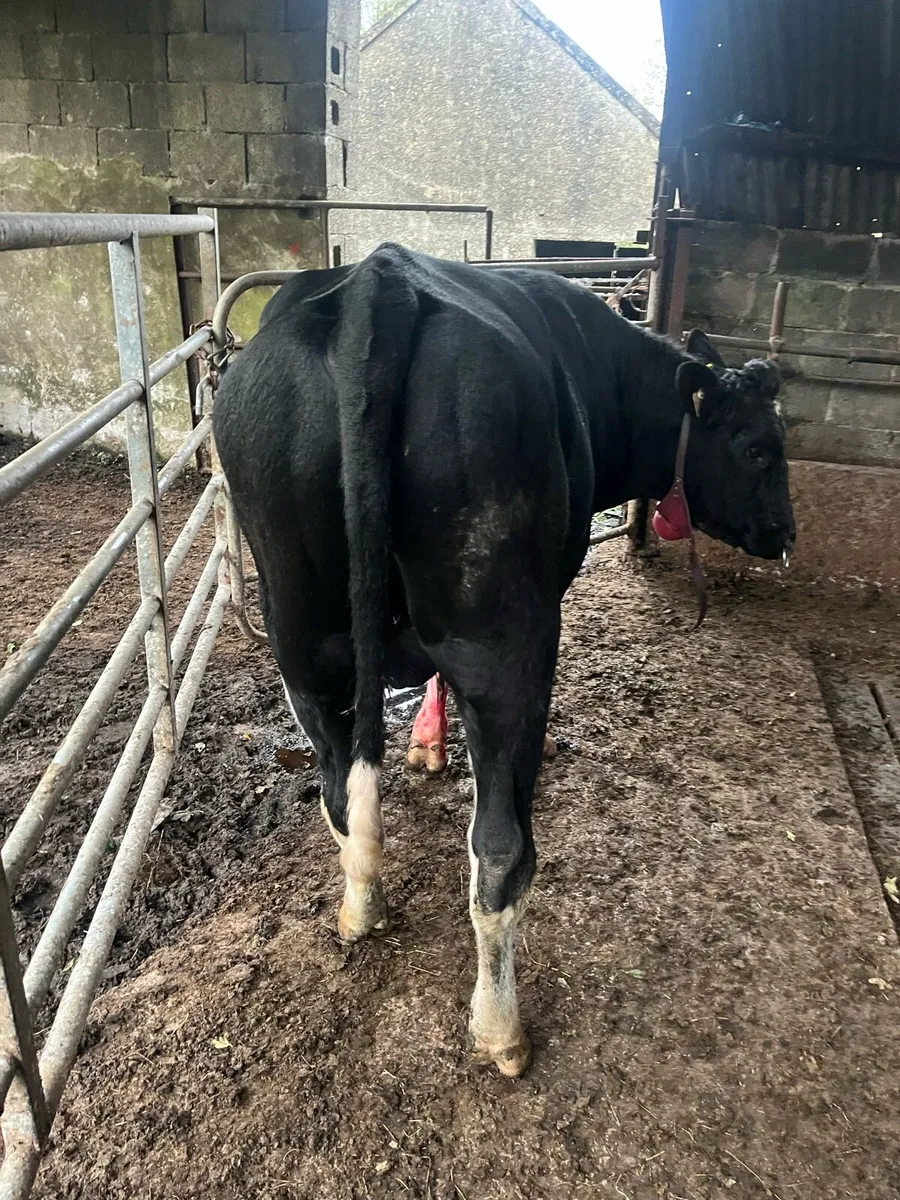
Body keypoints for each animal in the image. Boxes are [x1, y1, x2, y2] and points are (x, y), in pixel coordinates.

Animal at [213, 243, 794, 1078]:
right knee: (499, 851)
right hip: (506, 635)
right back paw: (500, 1028)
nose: (787, 533)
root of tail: (378, 285)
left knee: (340, 789)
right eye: (757, 448)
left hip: (299, 628)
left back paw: (361, 908)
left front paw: (425, 744)